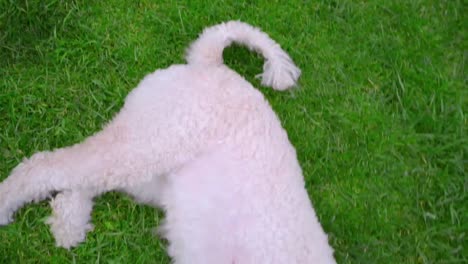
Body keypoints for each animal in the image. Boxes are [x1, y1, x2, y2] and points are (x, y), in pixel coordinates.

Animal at [0, 21, 336, 262]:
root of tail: (211, 64)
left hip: (152, 173)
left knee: (80, 180)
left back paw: (69, 223)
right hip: (147, 144)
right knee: (45, 165)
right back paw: (11, 206)